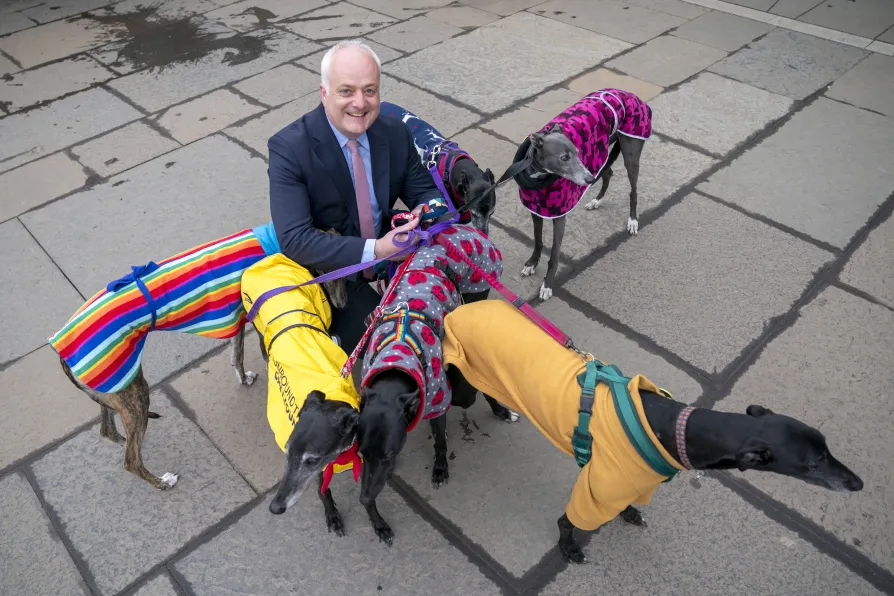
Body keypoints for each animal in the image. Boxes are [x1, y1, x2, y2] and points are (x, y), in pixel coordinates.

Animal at [355, 224, 505, 545]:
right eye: (360, 452)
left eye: (389, 454)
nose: (364, 498)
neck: (395, 364)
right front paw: (377, 521)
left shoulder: (438, 399)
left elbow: (440, 440)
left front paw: (440, 469)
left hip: (477, 293)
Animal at [439, 299, 864, 563]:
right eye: (813, 463)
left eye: (827, 447)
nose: (858, 484)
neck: (673, 426)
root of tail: (464, 306)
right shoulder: (595, 489)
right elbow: (568, 522)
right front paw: (568, 549)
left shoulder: (632, 482)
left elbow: (626, 505)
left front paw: (629, 514)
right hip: (458, 380)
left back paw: (501, 410)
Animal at [513, 89, 652, 300]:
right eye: (564, 158)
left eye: (578, 152)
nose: (588, 179)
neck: (539, 174)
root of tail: (628, 93)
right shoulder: (536, 209)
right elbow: (538, 241)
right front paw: (531, 264)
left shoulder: (559, 217)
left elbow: (554, 255)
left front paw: (547, 285)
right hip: (605, 152)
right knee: (608, 172)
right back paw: (597, 200)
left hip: (630, 152)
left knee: (633, 190)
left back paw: (633, 220)